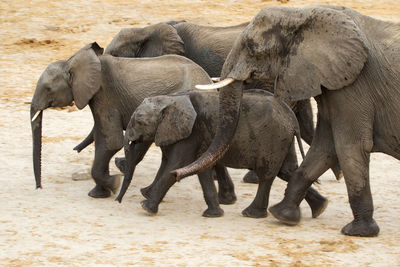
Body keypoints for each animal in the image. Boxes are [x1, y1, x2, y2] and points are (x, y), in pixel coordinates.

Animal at [30, 42, 219, 200]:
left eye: (48, 89)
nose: (39, 187)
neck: (73, 63)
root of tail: (208, 80)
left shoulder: (105, 95)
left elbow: (112, 142)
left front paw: (114, 184)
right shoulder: (98, 99)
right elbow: (101, 139)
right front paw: (99, 193)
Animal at [116, 90, 328, 220]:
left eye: (139, 122)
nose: (117, 202)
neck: (172, 99)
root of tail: (290, 116)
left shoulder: (193, 133)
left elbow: (174, 165)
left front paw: (145, 206)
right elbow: (192, 168)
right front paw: (213, 214)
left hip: (274, 138)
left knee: (268, 175)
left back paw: (252, 214)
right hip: (283, 139)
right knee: (287, 171)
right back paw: (319, 208)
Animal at [171, 5, 400, 238]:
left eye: (252, 47)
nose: (176, 174)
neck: (301, 14)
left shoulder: (354, 86)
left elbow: (349, 147)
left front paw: (358, 231)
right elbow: (324, 148)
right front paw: (283, 215)